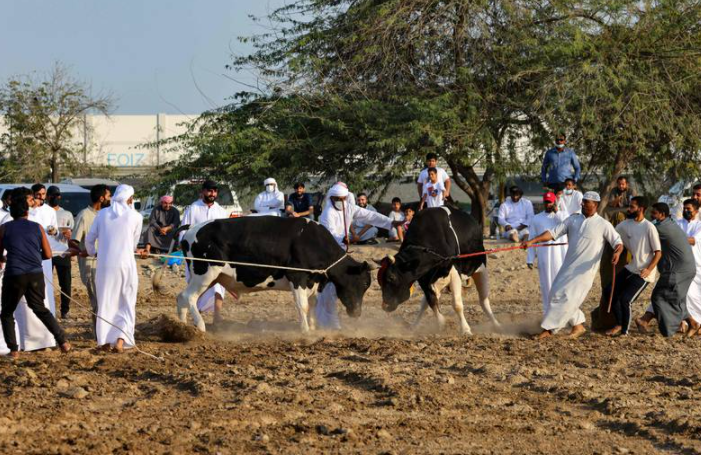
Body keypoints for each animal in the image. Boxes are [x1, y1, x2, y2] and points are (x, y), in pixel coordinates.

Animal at [179, 217, 378, 332]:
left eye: (367, 285)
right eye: (361, 283)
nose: (357, 312)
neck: (310, 240)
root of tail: (192, 228)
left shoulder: (313, 281)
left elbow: (312, 305)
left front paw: (313, 328)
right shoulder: (297, 276)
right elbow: (303, 305)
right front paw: (306, 331)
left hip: (210, 278)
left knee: (180, 297)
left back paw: (182, 327)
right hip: (205, 274)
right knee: (188, 297)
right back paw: (200, 326)